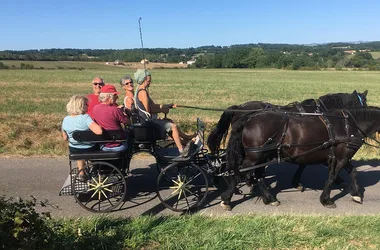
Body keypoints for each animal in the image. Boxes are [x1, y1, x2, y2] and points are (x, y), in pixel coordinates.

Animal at [220, 105, 380, 209]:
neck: (349, 125)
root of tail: (248, 118)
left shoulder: (343, 157)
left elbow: (353, 172)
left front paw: (356, 194)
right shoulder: (341, 158)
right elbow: (332, 177)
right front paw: (326, 200)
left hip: (262, 156)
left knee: (258, 175)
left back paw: (269, 198)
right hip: (255, 156)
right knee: (238, 172)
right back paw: (227, 199)